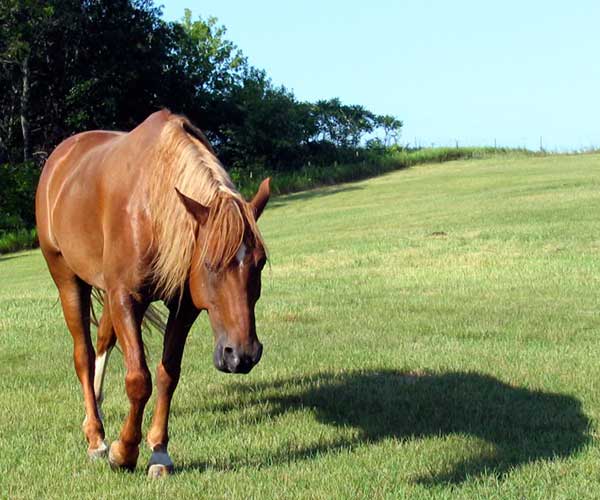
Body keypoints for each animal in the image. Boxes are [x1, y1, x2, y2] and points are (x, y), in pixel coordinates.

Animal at [36, 109, 270, 476]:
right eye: (210, 264)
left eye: (260, 262)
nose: (242, 355)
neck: (152, 211)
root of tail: (59, 158)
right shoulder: (125, 297)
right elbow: (138, 379)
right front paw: (124, 451)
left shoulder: (184, 306)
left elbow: (167, 374)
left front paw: (159, 452)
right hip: (66, 277)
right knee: (83, 354)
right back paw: (96, 436)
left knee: (102, 342)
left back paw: (98, 410)